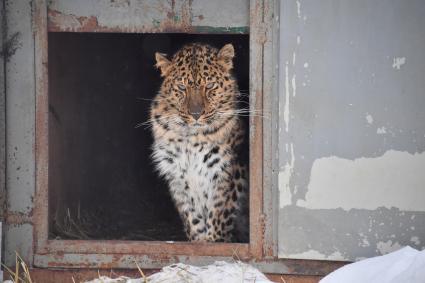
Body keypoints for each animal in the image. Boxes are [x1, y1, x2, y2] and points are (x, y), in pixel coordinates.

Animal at [150, 43, 247, 243]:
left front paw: (214, 243)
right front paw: (199, 243)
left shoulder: (227, 174)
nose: (195, 114)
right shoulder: (177, 177)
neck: (191, 138)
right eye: (181, 87)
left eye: (209, 85)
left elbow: (218, 218)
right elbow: (192, 221)